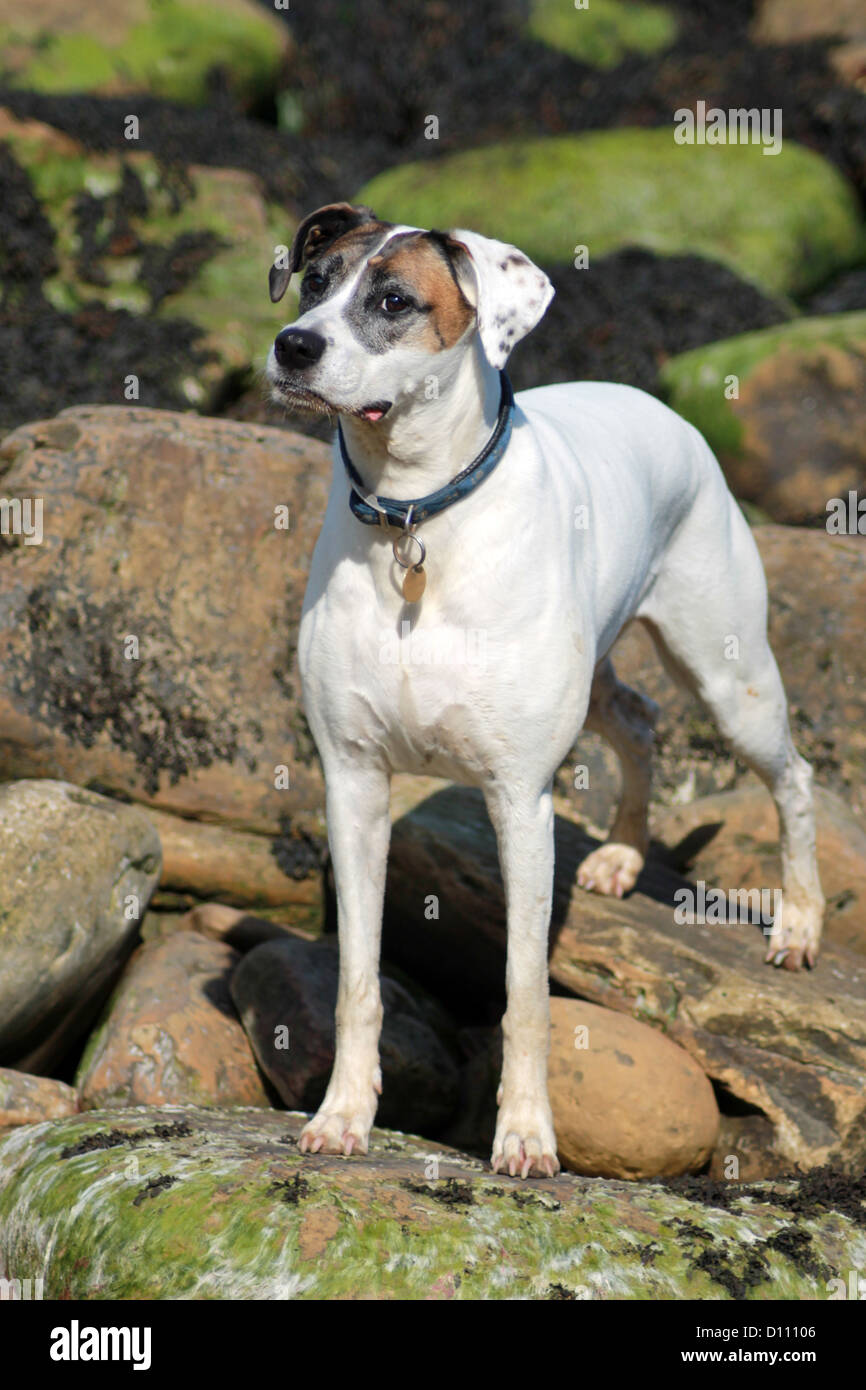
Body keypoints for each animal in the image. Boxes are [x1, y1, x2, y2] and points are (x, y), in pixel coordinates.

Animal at [268, 202, 822, 1184]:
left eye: (395, 300)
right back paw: (623, 856)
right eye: (314, 282)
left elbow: (524, 990)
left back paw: (797, 924)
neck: (418, 519)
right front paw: (343, 1117)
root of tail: (658, 405)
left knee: (793, 778)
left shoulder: (519, 801)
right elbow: (359, 981)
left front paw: (526, 1136)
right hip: (604, 675)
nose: (294, 347)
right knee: (638, 721)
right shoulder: (354, 785)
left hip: (730, 678)